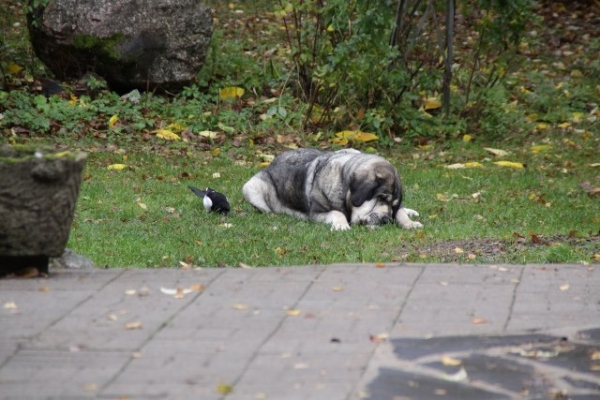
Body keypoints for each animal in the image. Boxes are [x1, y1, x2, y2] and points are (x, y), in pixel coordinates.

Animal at [243, 148, 422, 231]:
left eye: (393, 204)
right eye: (381, 197)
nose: (387, 220)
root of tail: (272, 162)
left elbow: (400, 212)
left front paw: (409, 222)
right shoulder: (317, 213)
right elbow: (337, 213)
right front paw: (342, 225)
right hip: (251, 187)